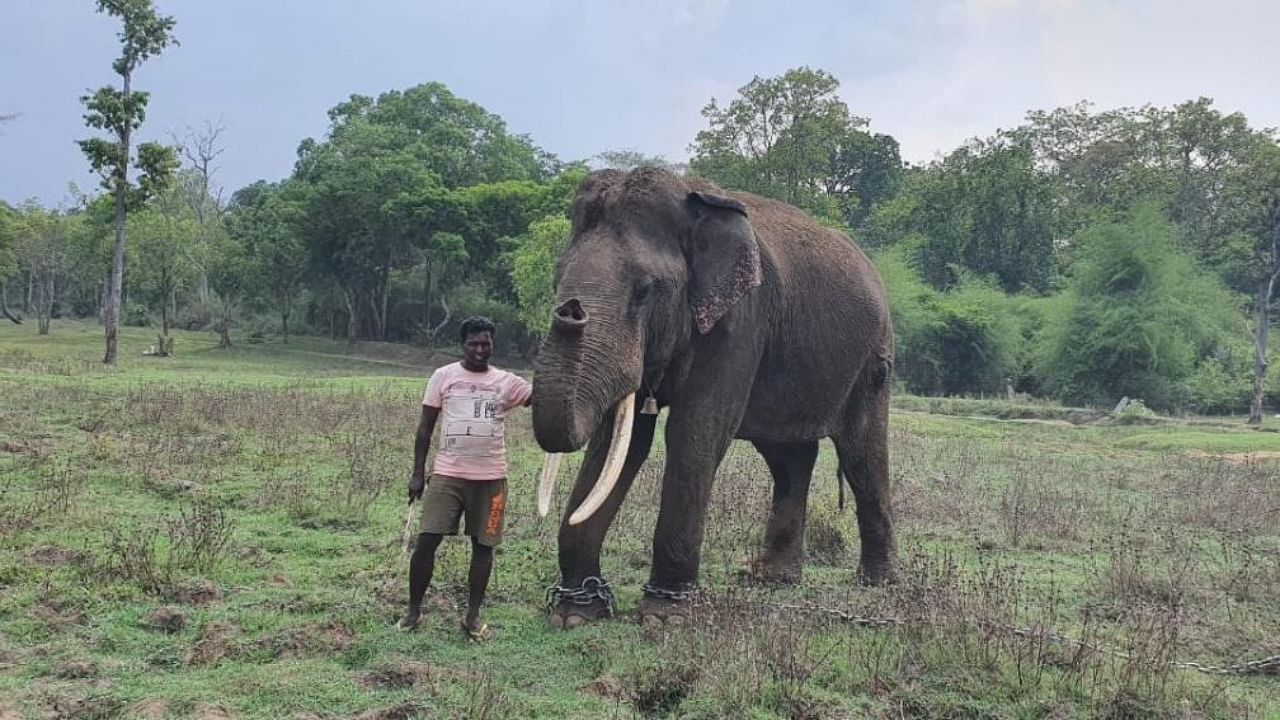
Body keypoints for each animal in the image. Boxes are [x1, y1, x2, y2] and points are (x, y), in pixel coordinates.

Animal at [529, 166, 890, 622]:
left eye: (646, 289)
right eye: (557, 277)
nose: (570, 311)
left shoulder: (741, 320)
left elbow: (693, 434)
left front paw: (664, 614)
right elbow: (621, 442)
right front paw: (577, 612)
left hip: (873, 361)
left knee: (862, 457)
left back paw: (877, 582)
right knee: (789, 459)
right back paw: (772, 578)